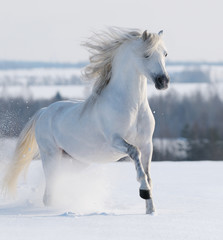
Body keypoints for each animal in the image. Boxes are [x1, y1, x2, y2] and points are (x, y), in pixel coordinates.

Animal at [3, 27, 169, 214]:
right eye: (146, 55)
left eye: (165, 54)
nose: (163, 81)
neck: (133, 107)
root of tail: (44, 111)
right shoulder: (115, 141)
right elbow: (135, 154)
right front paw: (144, 191)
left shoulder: (147, 144)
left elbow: (148, 174)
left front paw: (151, 210)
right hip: (51, 155)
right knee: (49, 193)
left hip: (75, 161)